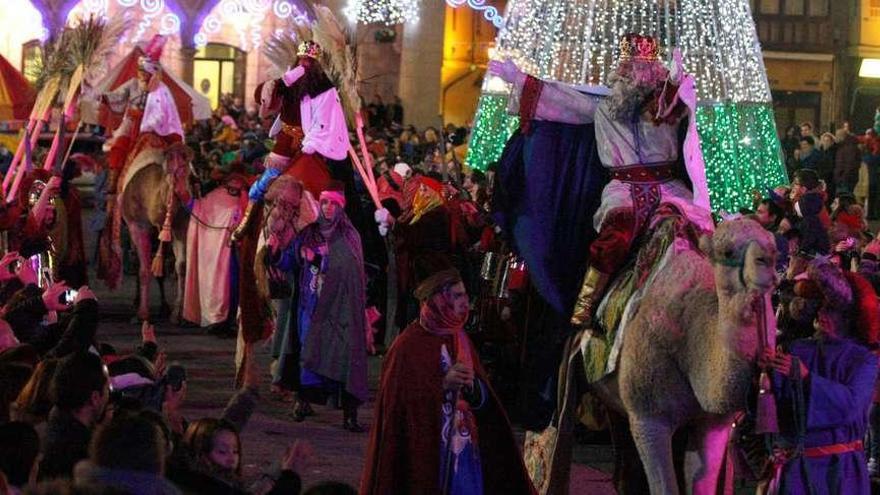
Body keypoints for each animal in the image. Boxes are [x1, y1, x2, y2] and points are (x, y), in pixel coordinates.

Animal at [118, 142, 192, 322]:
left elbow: (181, 266)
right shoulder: (137, 226)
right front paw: (142, 314)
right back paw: (137, 302)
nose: (186, 195)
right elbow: (144, 269)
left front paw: (177, 313)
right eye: (173, 170)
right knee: (138, 260)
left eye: (188, 172)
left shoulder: (180, 226)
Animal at [584, 219, 776, 494]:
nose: (766, 262)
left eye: (774, 248)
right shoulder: (648, 419)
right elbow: (665, 487)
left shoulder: (711, 424)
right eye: (727, 251)